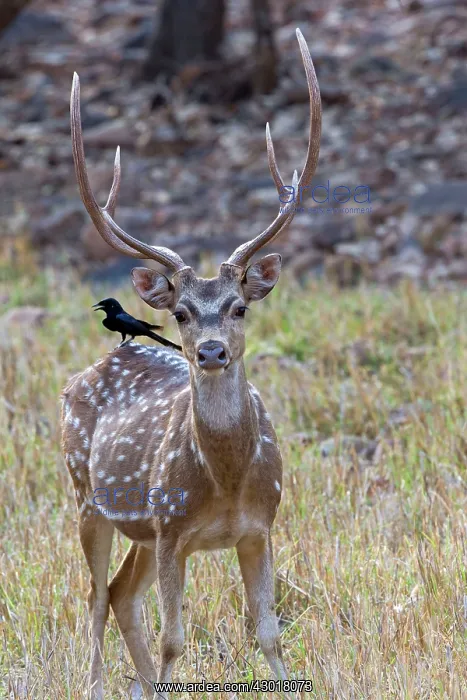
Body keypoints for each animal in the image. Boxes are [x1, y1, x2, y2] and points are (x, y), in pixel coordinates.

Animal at [61, 28, 321, 700]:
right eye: (180, 311)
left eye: (239, 307)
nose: (209, 351)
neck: (225, 482)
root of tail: (79, 377)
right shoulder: (173, 528)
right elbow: (175, 639)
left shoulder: (260, 527)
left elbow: (269, 634)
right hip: (87, 495)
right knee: (94, 597)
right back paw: (97, 685)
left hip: (142, 528)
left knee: (120, 594)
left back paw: (140, 685)